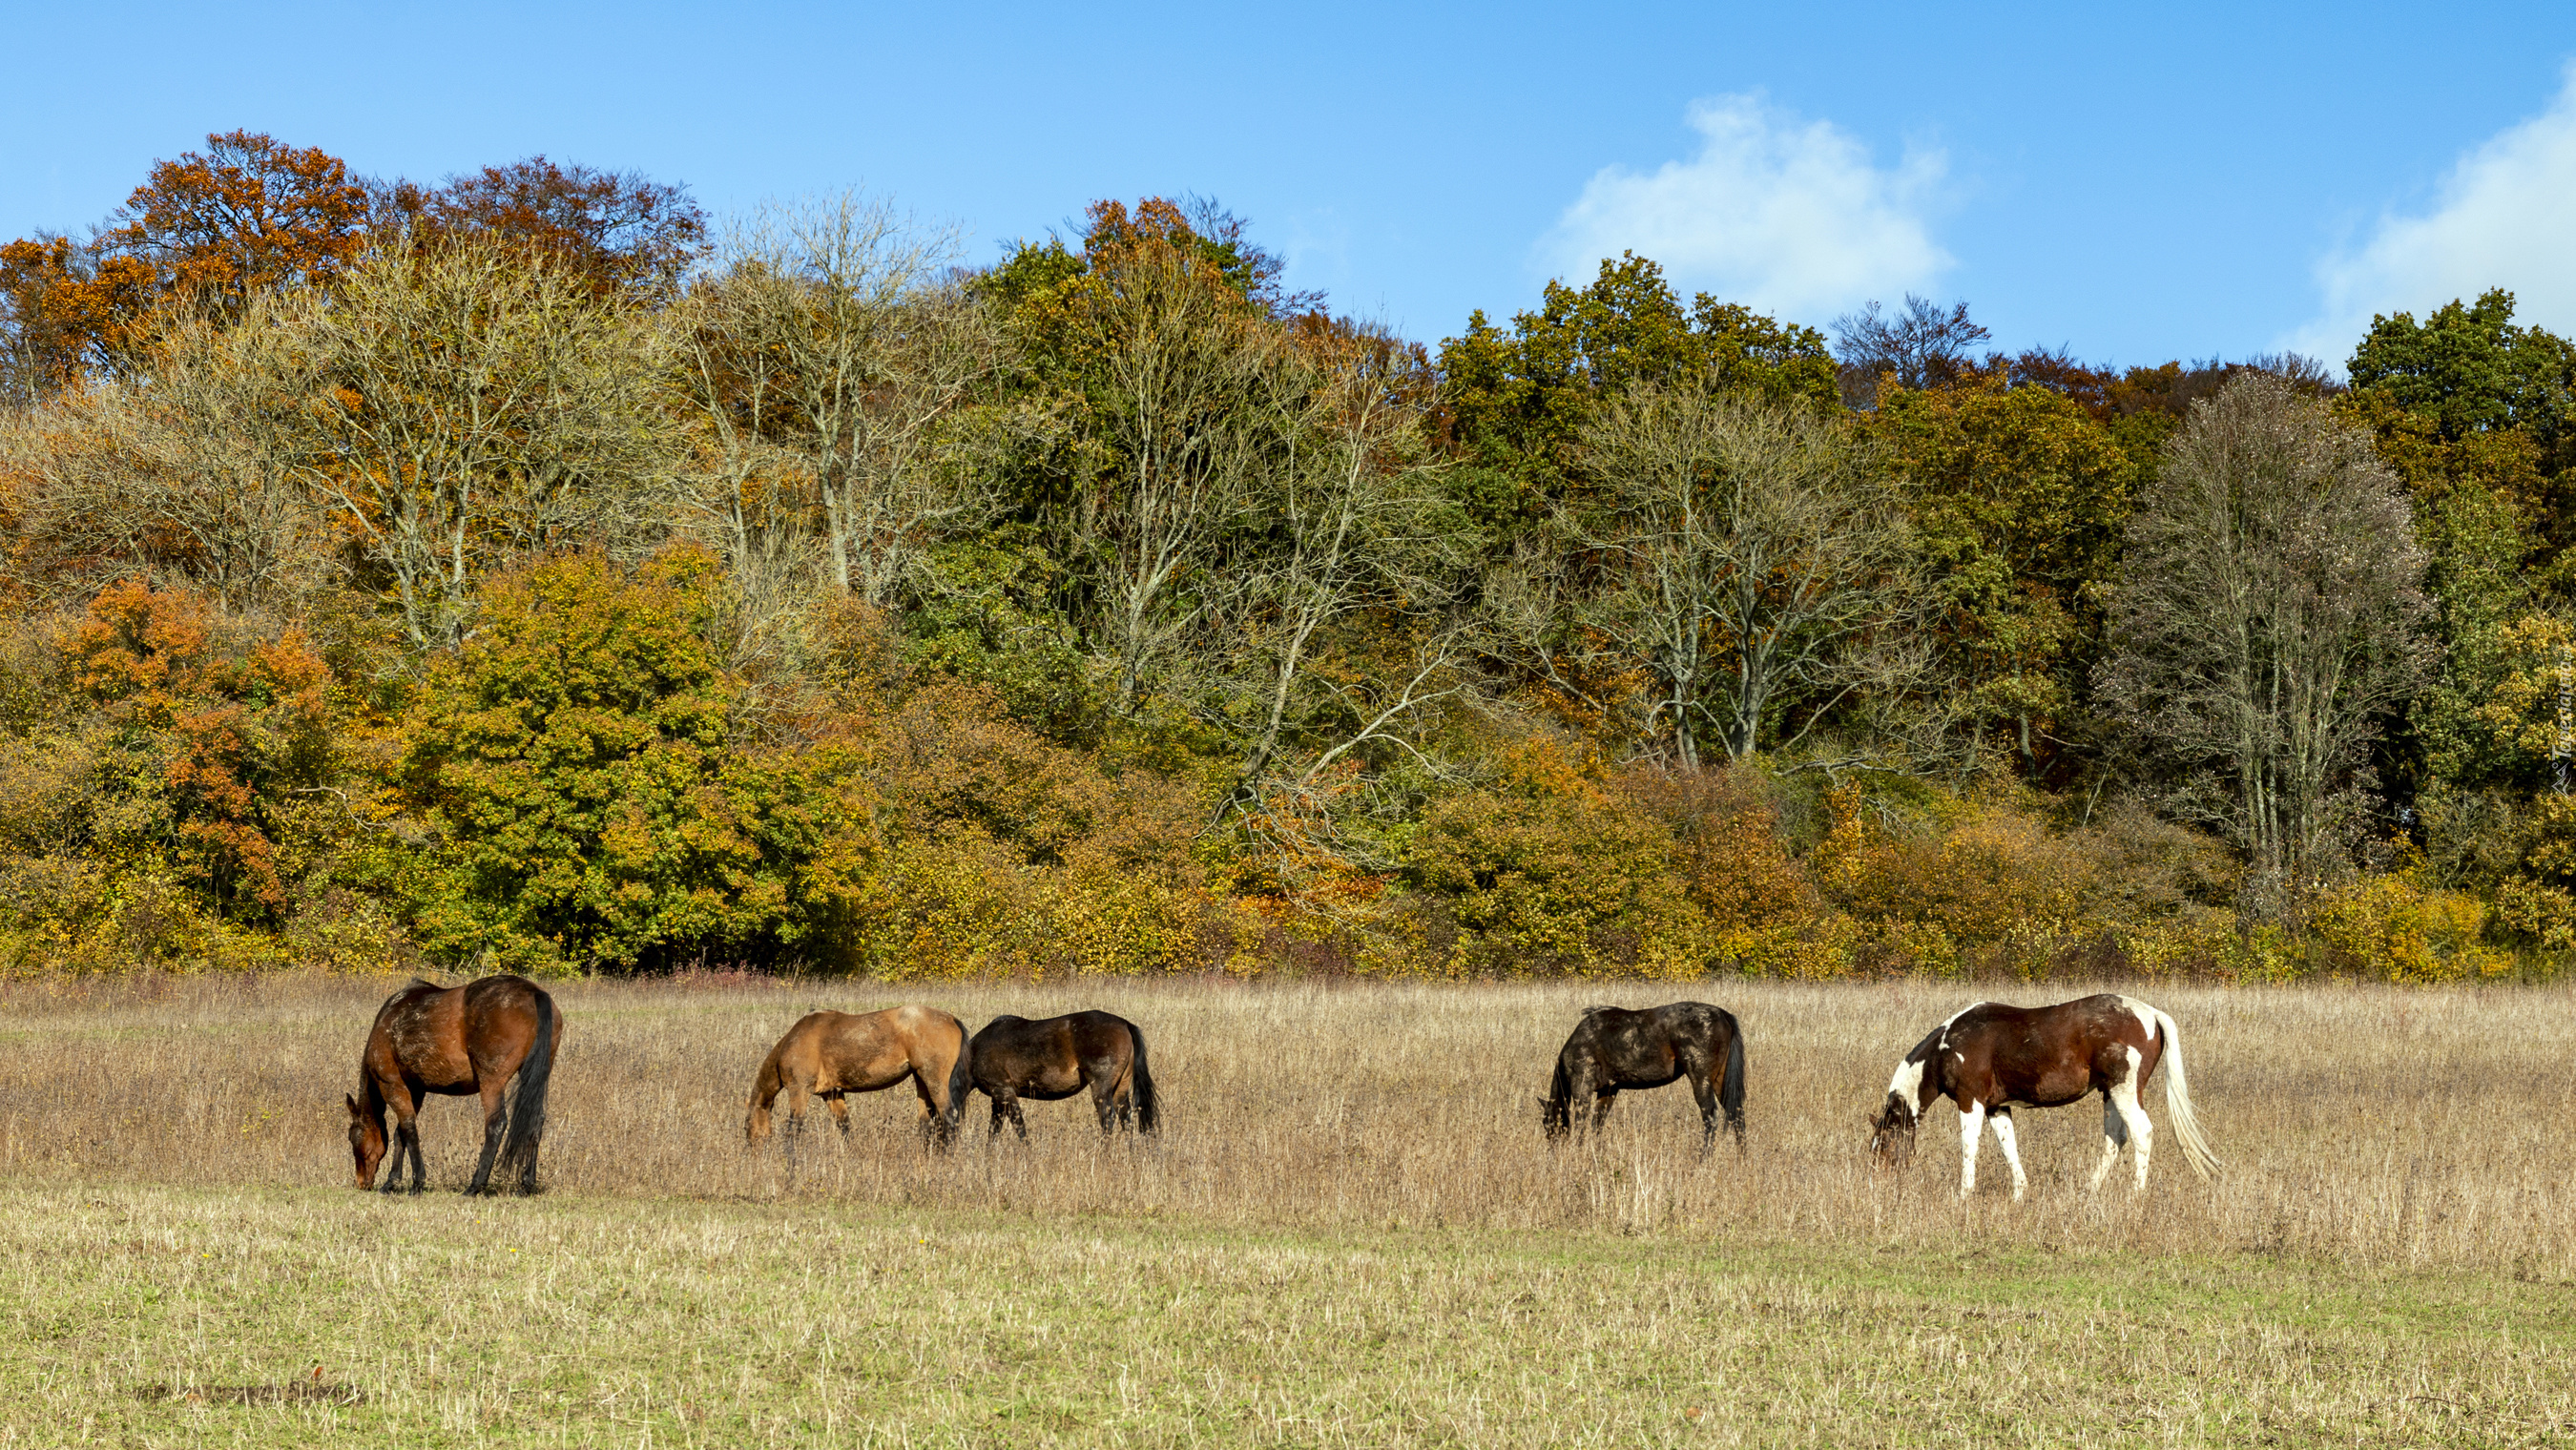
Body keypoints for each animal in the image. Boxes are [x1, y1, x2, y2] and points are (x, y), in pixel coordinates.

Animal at [347, 973, 564, 1205]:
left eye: (351, 1138)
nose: (361, 1183)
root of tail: (534, 992)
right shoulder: (416, 1091)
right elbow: (400, 1135)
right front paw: (392, 1182)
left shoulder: (393, 1086)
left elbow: (409, 1131)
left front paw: (416, 1183)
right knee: (536, 1122)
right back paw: (526, 1185)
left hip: (492, 1082)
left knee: (496, 1124)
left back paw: (475, 1186)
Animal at [752, 1004, 984, 1153]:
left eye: (748, 1124)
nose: (752, 1152)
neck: (794, 1041)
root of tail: (950, 1019)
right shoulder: (833, 1094)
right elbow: (845, 1127)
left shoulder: (799, 1091)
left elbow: (794, 1128)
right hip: (921, 1081)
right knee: (926, 1122)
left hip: (934, 1081)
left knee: (949, 1118)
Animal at [968, 1014, 1164, 1138]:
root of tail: (1125, 1024)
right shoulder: (997, 1098)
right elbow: (994, 1130)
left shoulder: (1003, 1092)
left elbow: (1019, 1126)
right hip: (1121, 1088)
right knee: (1126, 1118)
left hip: (1101, 1089)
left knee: (1108, 1119)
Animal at [1535, 1004, 1741, 1153]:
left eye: (1548, 1123)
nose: (1551, 1150)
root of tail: (1722, 1014)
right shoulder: (1608, 1090)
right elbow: (1597, 1123)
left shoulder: (1582, 1087)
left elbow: (1580, 1122)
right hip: (1720, 1082)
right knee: (1737, 1115)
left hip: (1701, 1081)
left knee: (1710, 1118)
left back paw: (1704, 1157)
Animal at [1875, 988, 2215, 1205]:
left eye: (1884, 1146)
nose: (1882, 1185)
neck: (1947, 1048)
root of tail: (2152, 1013)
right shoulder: (1997, 1107)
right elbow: (2008, 1147)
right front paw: (2019, 1194)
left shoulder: (1970, 1102)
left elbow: (1968, 1148)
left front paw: (1963, 1195)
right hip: (2109, 1093)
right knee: (2114, 1139)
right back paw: (2089, 1191)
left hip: (2124, 1090)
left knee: (2141, 1133)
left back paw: (2136, 1195)